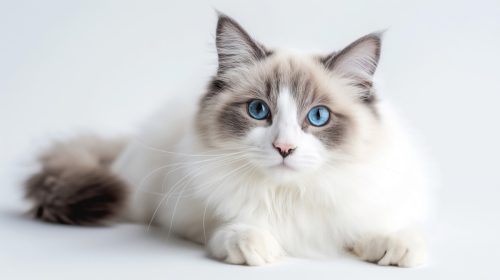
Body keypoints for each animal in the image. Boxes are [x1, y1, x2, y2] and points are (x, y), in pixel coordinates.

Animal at [23, 13, 430, 266]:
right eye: (258, 110)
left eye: (317, 117)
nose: (284, 148)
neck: (289, 194)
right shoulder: (187, 214)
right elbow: (230, 227)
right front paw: (256, 246)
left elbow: (384, 228)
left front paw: (396, 248)